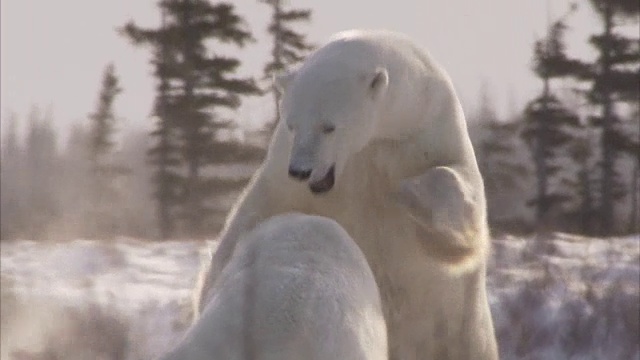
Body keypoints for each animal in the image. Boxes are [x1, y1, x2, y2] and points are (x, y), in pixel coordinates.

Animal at [195, 29, 500, 358]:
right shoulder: (283, 174)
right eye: (291, 124)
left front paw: (410, 193)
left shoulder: (430, 133)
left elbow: (462, 210)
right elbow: (253, 214)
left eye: (329, 126)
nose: (301, 170)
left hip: (462, 332)